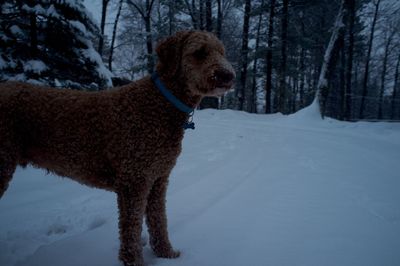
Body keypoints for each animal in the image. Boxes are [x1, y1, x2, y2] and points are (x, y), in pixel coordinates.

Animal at [0, 30, 236, 264]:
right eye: (200, 53)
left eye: (222, 53)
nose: (229, 75)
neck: (160, 104)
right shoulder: (134, 180)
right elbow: (131, 230)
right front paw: (134, 261)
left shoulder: (158, 179)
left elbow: (159, 220)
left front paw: (166, 254)